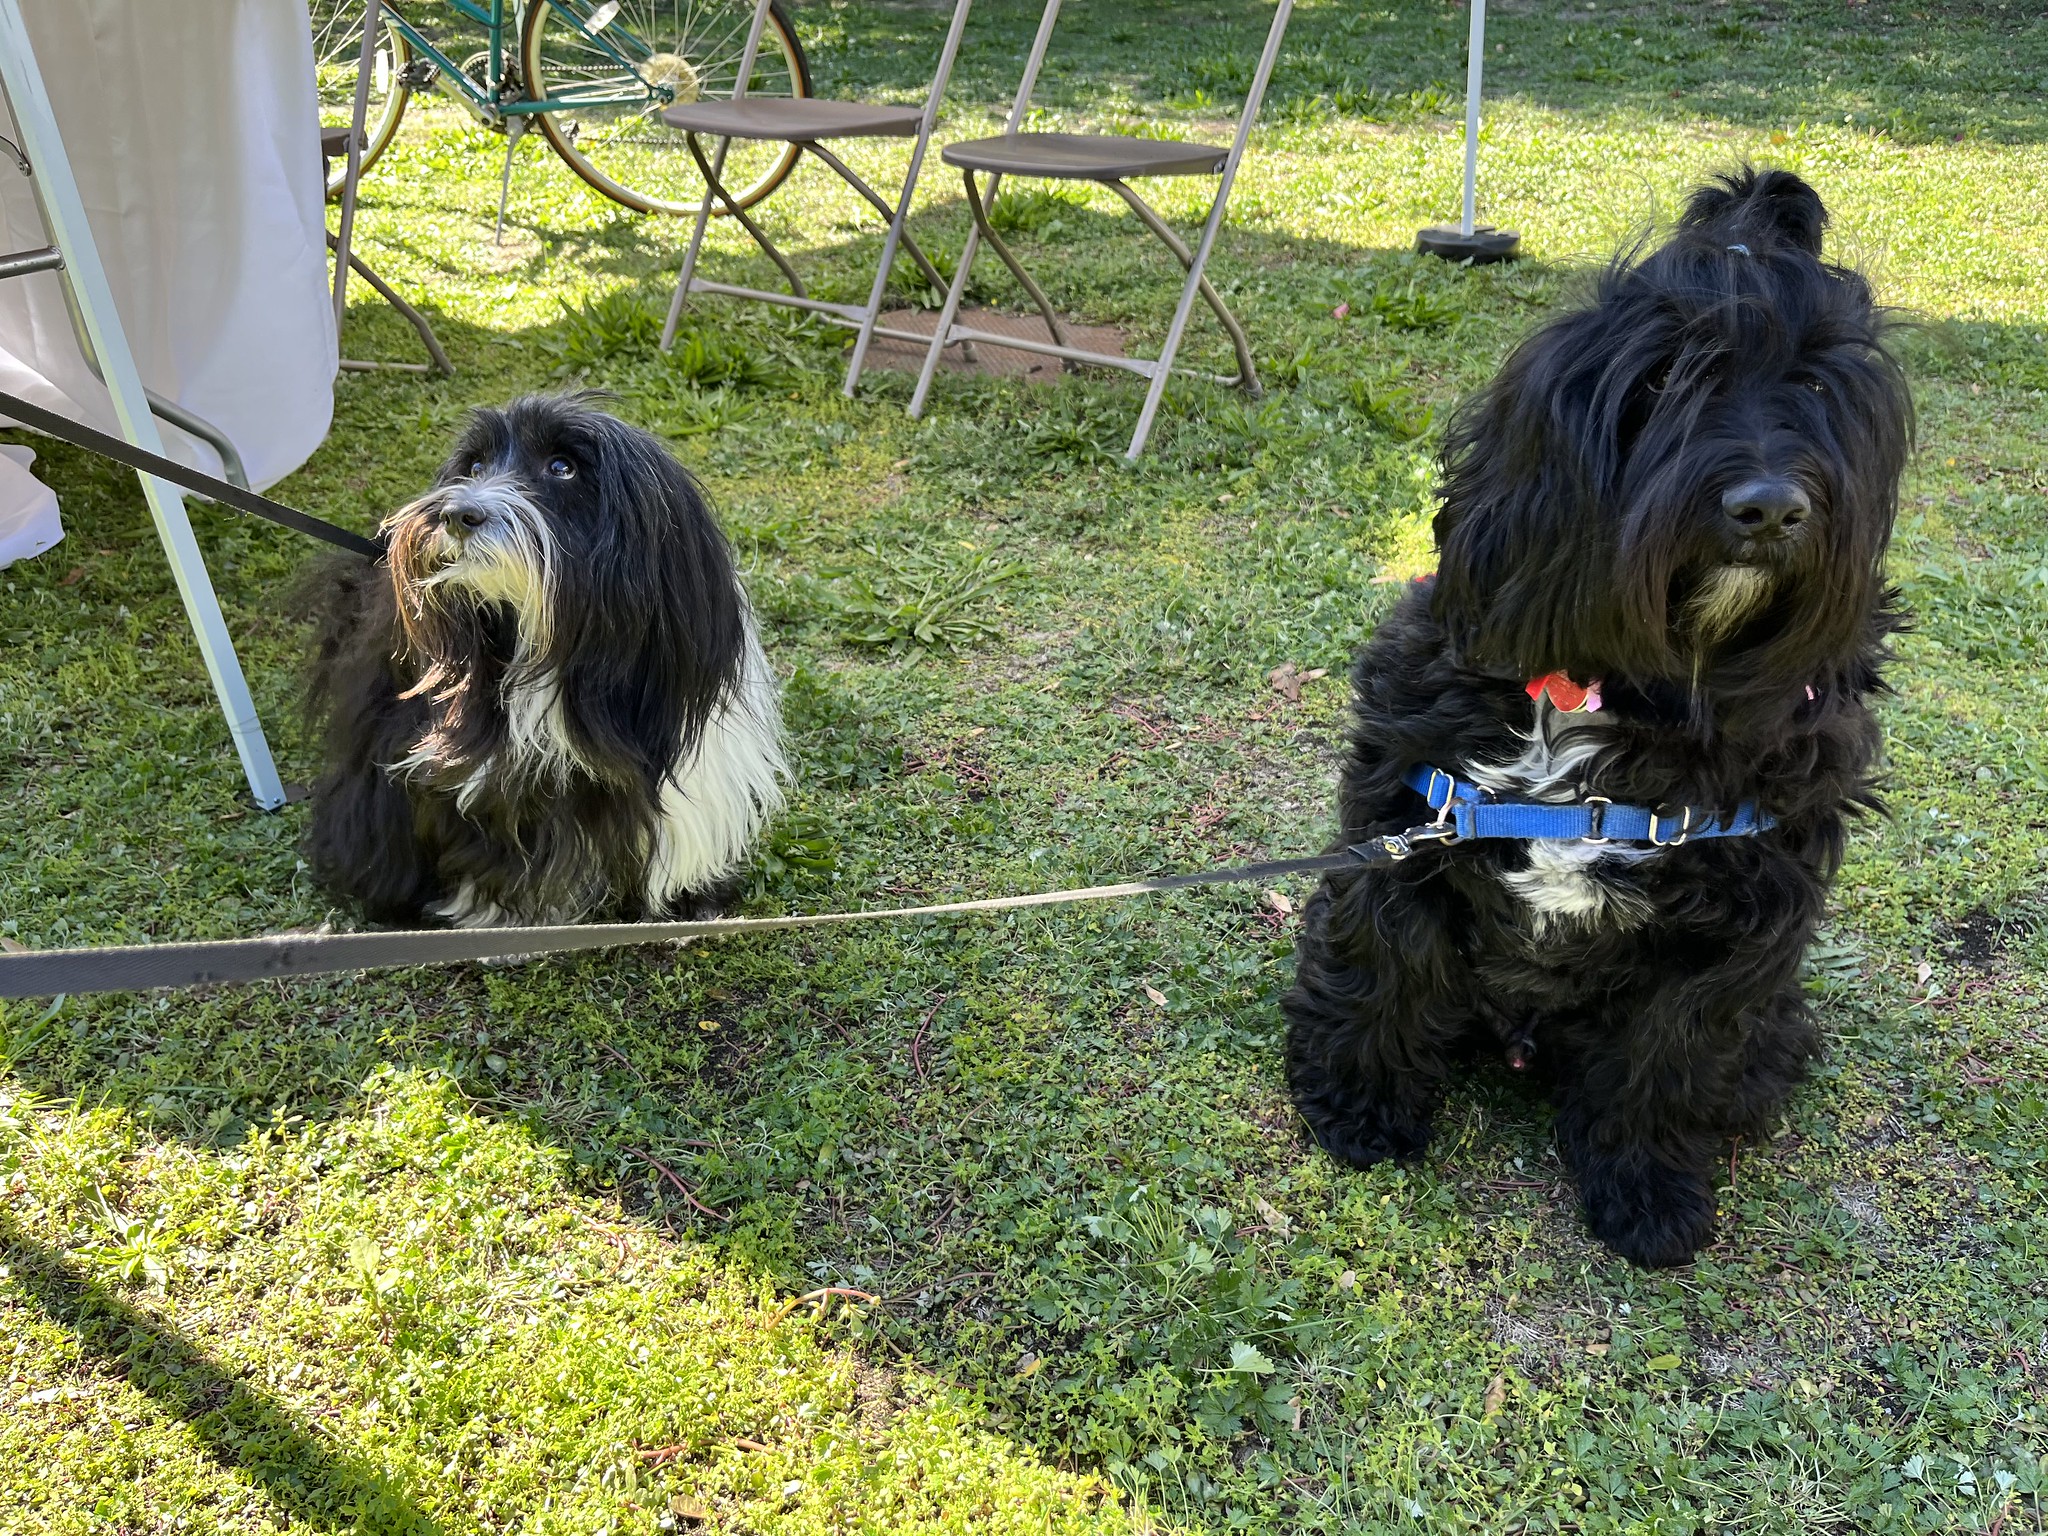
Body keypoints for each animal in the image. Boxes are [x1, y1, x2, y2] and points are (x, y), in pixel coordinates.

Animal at [1286, 167, 1908, 1277]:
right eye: (1662, 383)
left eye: (1816, 389)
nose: (1769, 507)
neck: (1627, 687)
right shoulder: (1405, 830)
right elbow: (1388, 967)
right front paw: (1356, 1105)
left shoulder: (1737, 933)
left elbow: (1668, 1052)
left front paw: (1647, 1190)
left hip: (1774, 1026)